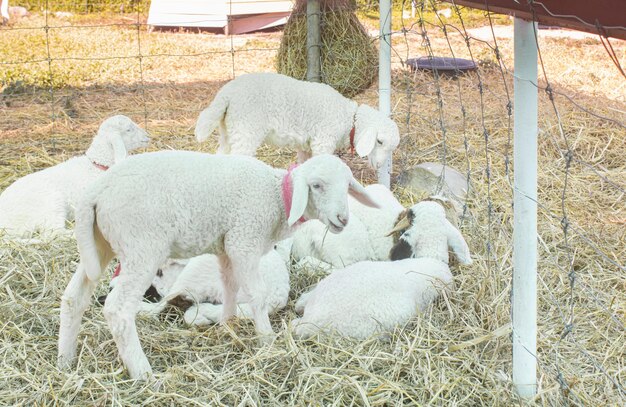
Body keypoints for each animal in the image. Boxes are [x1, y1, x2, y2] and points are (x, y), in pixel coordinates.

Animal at [58, 151, 378, 380]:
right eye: (317, 185)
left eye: (348, 186)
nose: (342, 219)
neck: (276, 197)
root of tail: (96, 192)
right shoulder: (244, 240)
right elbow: (257, 295)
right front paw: (266, 341)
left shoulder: (227, 247)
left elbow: (229, 287)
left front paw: (228, 324)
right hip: (142, 247)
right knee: (118, 309)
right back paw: (143, 373)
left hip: (100, 244)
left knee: (74, 298)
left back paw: (66, 359)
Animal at [195, 72, 400, 170]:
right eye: (379, 141)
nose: (380, 166)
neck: (348, 119)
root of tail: (226, 94)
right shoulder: (323, 141)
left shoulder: (305, 146)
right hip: (246, 129)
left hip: (229, 130)